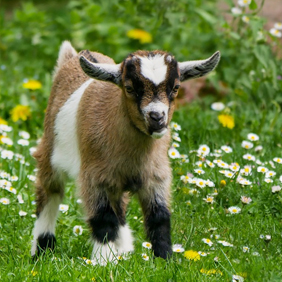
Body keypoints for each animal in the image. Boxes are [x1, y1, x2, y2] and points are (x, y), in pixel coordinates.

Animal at [31, 40, 220, 264]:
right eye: (129, 88)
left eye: (176, 87)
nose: (157, 117)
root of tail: (72, 57)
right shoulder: (94, 177)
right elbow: (103, 218)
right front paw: (102, 262)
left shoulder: (156, 176)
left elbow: (159, 217)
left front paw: (164, 259)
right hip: (50, 153)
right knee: (49, 193)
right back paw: (41, 251)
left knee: (119, 208)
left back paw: (124, 251)